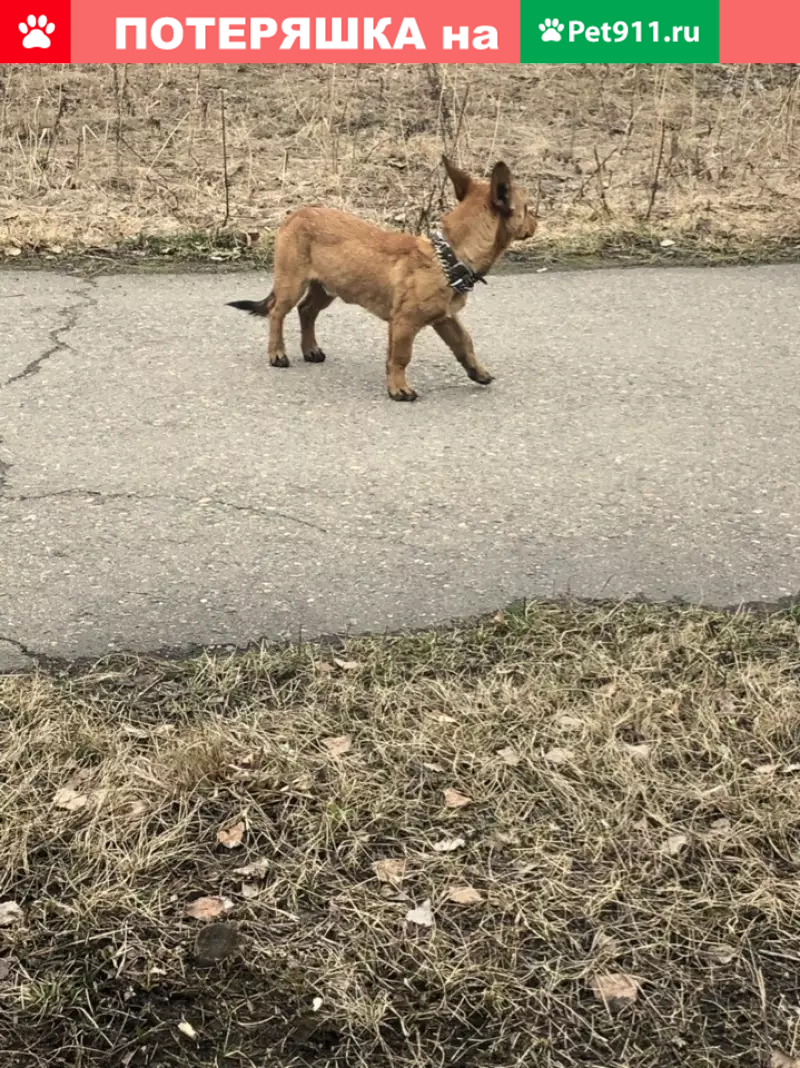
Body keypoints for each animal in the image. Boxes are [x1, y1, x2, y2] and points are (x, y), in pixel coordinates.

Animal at [227, 153, 534, 397]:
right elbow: (400, 357)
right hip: (293, 283)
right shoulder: (404, 323)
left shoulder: (445, 318)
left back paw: (310, 349)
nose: (536, 222)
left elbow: (465, 344)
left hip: (327, 286)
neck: (448, 255)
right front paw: (399, 389)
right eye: (528, 208)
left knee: (307, 311)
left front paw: (477, 372)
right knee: (277, 313)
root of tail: (294, 215)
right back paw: (277, 353)